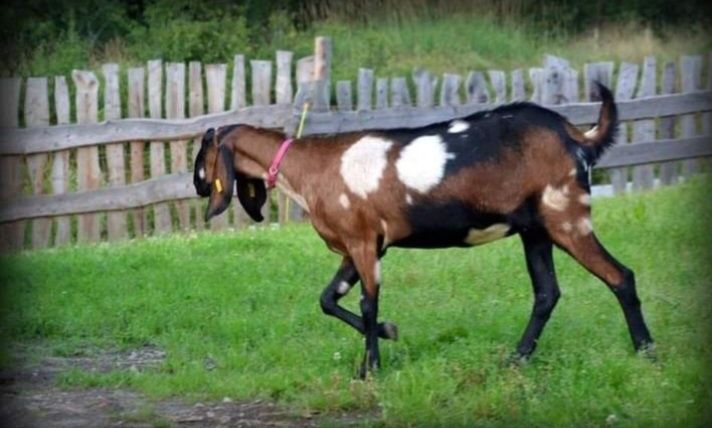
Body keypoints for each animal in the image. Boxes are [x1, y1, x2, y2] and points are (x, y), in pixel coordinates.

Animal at [192, 83, 652, 378]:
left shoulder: (363, 241)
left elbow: (367, 304)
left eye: (202, 156)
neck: (313, 169)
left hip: (567, 217)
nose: (196, 185)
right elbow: (327, 300)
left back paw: (647, 351)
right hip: (535, 229)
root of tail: (576, 136)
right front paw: (387, 335)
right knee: (546, 293)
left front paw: (370, 369)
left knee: (620, 276)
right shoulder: (361, 248)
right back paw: (517, 359)